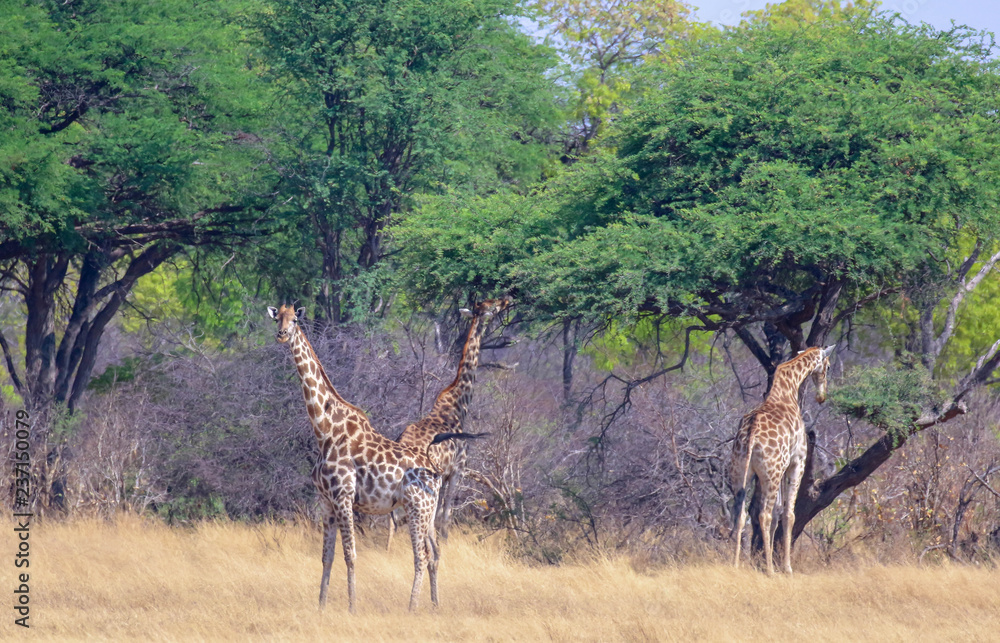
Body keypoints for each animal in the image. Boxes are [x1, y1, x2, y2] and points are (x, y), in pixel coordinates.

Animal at [268, 304, 463, 612]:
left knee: (420, 555)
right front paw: (321, 606)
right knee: (434, 552)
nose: (282, 334)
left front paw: (352, 606)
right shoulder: (326, 501)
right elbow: (326, 556)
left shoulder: (344, 497)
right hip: (428, 512)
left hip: (416, 508)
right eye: (277, 318)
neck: (324, 430)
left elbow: (350, 554)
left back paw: (411, 607)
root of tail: (436, 474)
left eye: (296, 319)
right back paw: (434, 605)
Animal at [388, 298, 512, 545]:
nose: (508, 299)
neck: (458, 405)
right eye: (493, 306)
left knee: (393, 523)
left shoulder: (446, 475)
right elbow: (445, 519)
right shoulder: (457, 471)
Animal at [730, 344, 835, 575]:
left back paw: (734, 564)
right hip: (772, 472)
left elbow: (779, 511)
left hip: (741, 471)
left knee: (741, 514)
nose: (821, 397)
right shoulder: (797, 461)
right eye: (829, 366)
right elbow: (788, 514)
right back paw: (770, 570)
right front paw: (787, 567)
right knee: (763, 515)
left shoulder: (780, 468)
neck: (788, 387)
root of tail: (750, 435)